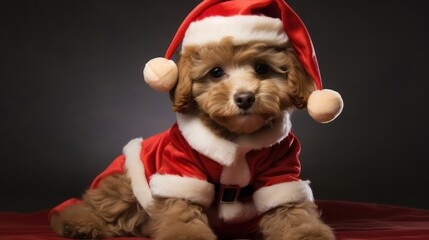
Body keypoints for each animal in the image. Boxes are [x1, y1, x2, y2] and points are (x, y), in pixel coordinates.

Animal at [50, 36, 336, 239]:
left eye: (262, 68)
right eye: (216, 72)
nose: (244, 98)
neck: (237, 138)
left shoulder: (282, 169)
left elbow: (291, 209)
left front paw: (309, 234)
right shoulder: (180, 166)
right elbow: (182, 209)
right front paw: (187, 234)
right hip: (125, 184)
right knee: (95, 205)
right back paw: (78, 224)